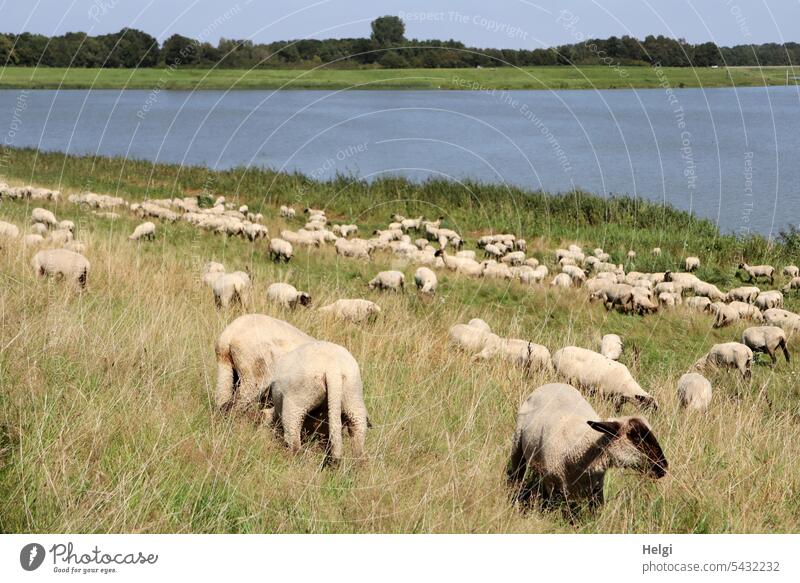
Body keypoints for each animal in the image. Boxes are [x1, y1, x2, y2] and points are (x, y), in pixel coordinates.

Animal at [506, 384, 668, 512]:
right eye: (635, 437)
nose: (663, 467)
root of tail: (553, 384)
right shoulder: (553, 486)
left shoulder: (596, 488)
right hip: (517, 445)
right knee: (517, 473)